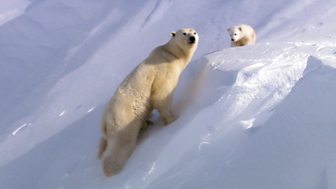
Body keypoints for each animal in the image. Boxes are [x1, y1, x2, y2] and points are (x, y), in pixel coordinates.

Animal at [100, 27, 200, 176]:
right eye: (184, 33)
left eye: (194, 32)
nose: (192, 38)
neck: (170, 55)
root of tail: (104, 122)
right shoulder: (164, 71)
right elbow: (161, 94)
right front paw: (172, 119)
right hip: (122, 119)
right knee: (122, 143)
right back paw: (113, 169)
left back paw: (147, 123)